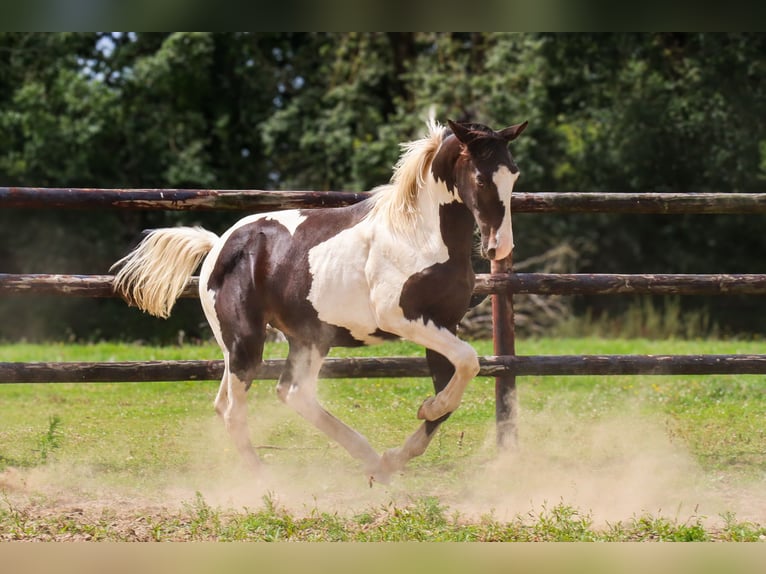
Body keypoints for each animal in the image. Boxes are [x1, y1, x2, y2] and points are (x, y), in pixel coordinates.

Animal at [112, 118, 528, 486]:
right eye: (480, 177)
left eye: (514, 174)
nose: (499, 247)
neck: (417, 235)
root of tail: (218, 244)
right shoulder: (403, 318)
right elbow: (468, 362)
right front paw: (424, 413)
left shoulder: (445, 322)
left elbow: (452, 388)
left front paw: (399, 451)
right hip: (245, 342)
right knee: (235, 409)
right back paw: (266, 479)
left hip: (306, 339)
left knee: (290, 393)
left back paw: (371, 460)